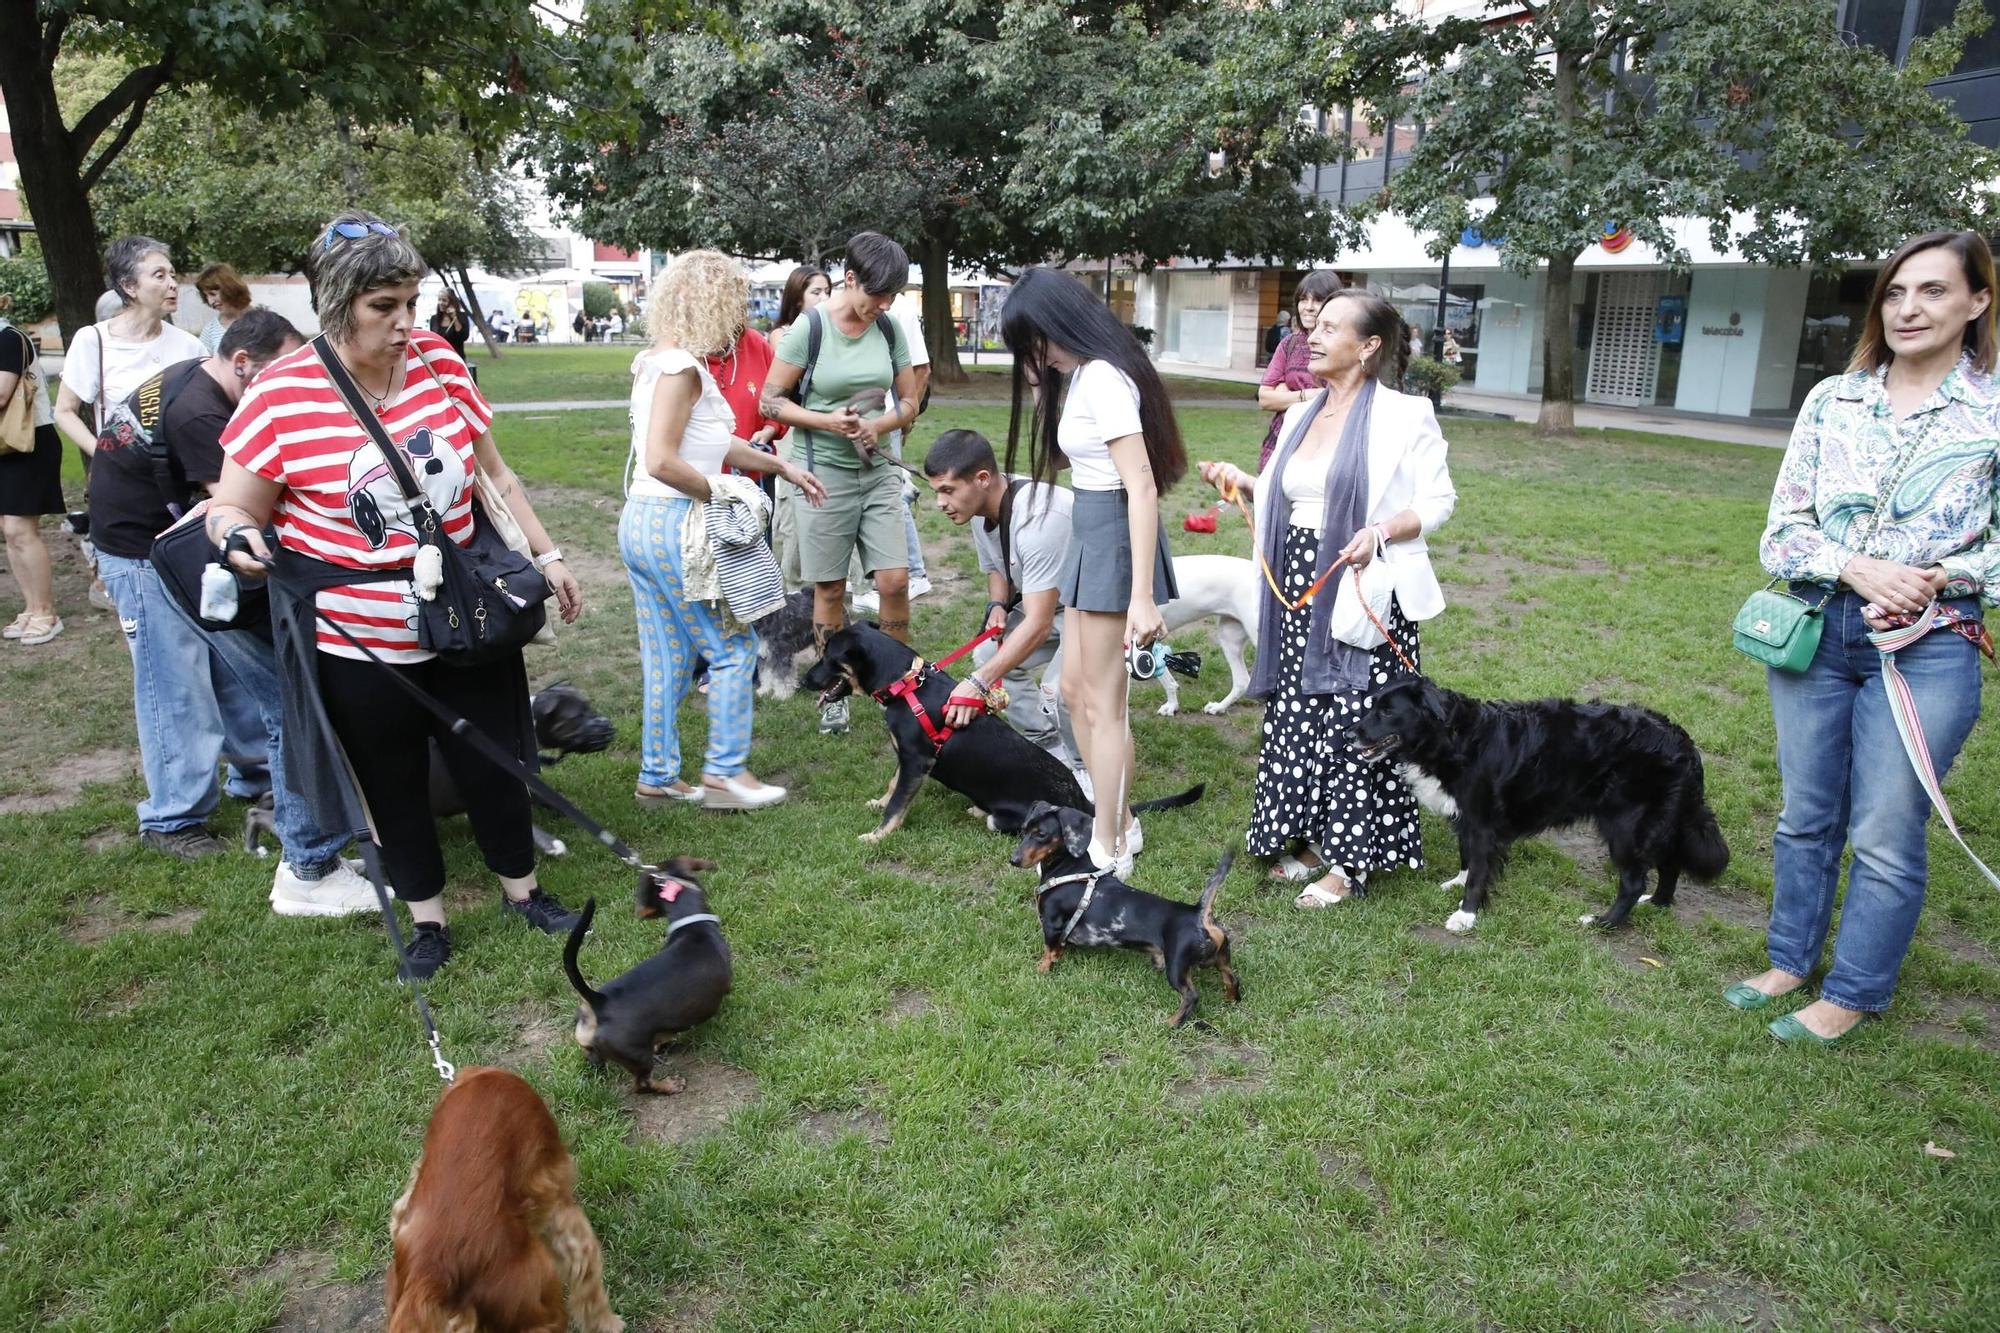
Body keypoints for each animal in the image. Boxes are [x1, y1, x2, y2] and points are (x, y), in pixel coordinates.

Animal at [1352, 680, 1728, 928]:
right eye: (1372, 706)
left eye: (1387, 711)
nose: (1349, 733)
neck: (1453, 737)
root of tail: (1682, 741)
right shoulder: (1468, 817)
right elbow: (1466, 855)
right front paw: (1457, 882)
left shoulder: (1483, 821)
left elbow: (1479, 868)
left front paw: (1466, 914)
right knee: (1671, 863)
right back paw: (1659, 903)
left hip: (1626, 825)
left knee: (1635, 883)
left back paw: (1604, 922)